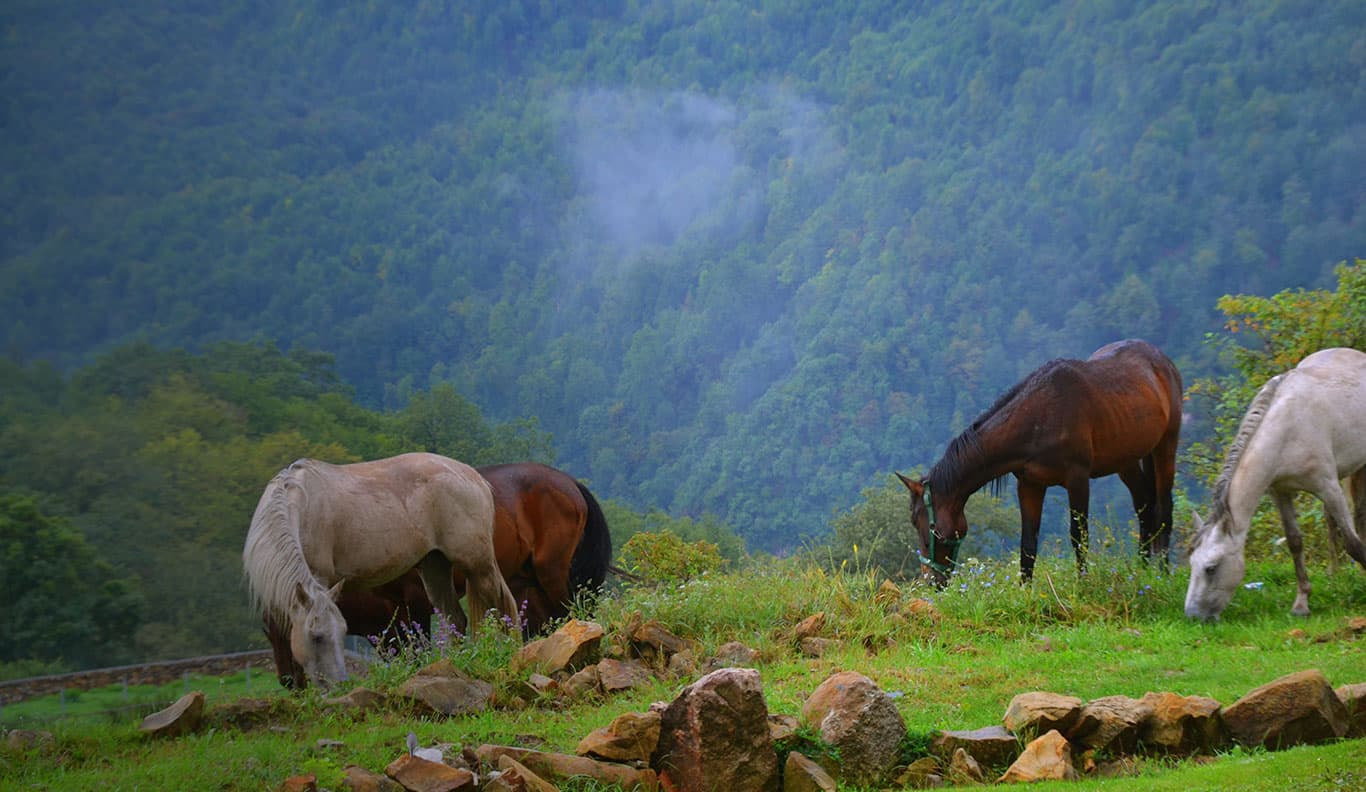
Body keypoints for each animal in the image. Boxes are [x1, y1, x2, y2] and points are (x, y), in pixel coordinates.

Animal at [243, 452, 519, 688]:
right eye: (317, 637)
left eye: (342, 632)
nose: (339, 685)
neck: (298, 504)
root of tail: (474, 477)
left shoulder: (320, 577)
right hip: (434, 567)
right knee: (456, 619)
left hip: (478, 565)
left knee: (506, 607)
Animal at [263, 462, 613, 689]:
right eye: (268, 634)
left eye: (283, 630)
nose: (288, 681)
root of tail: (569, 483)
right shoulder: (391, 624)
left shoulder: (414, 603)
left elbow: (420, 649)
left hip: (551, 574)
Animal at [897, 339, 1183, 586]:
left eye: (925, 526)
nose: (932, 581)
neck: (1039, 417)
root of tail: (1161, 360)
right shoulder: (1030, 485)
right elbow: (1028, 544)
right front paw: (1025, 593)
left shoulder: (1078, 479)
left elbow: (1079, 536)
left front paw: (1083, 584)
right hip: (1127, 460)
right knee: (1144, 506)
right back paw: (1142, 571)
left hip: (1165, 446)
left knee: (1163, 509)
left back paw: (1163, 574)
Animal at [1184, 347, 1366, 621]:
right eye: (1191, 564)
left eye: (1211, 568)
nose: (1192, 615)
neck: (1288, 427)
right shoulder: (1280, 491)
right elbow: (1294, 541)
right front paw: (1301, 604)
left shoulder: (1329, 487)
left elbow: (1353, 544)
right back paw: (1335, 575)